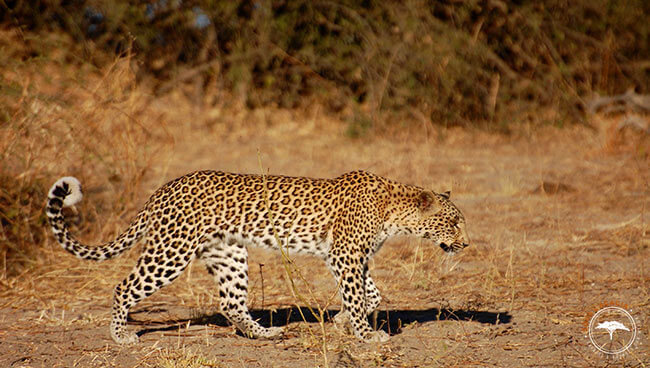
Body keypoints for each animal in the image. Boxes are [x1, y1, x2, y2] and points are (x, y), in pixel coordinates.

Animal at [48, 171, 468, 344]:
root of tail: (162, 189)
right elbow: (358, 294)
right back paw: (120, 336)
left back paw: (265, 334)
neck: (395, 212)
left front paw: (342, 322)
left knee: (231, 303)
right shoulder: (346, 255)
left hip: (228, 253)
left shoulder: (349, 256)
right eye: (454, 222)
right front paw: (365, 335)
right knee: (123, 287)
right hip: (171, 251)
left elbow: (371, 293)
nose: (466, 245)